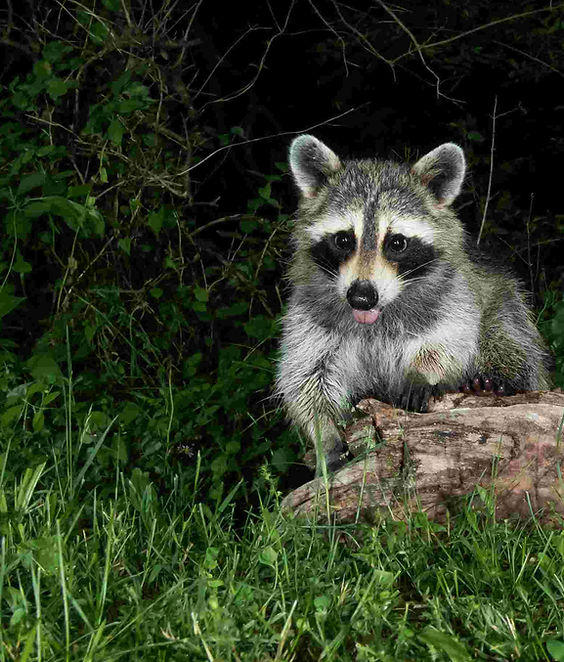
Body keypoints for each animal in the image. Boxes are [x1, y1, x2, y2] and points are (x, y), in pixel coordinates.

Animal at [276, 134, 551, 474]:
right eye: (343, 240)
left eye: (397, 243)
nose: (361, 297)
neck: (379, 313)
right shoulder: (310, 313)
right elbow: (306, 377)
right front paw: (323, 432)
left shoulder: (453, 293)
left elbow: (452, 337)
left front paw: (424, 372)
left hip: (506, 297)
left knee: (508, 333)